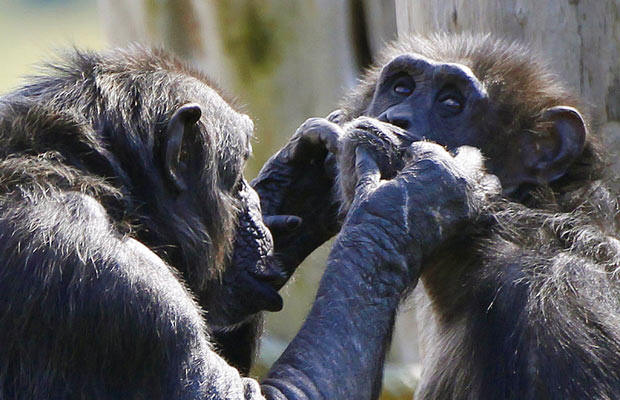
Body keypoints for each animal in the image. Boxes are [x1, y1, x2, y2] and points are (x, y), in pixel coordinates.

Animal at [0, 45, 496, 398]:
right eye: (237, 170)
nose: (252, 201)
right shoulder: (128, 296)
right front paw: (413, 198)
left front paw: (303, 174)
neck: (107, 186)